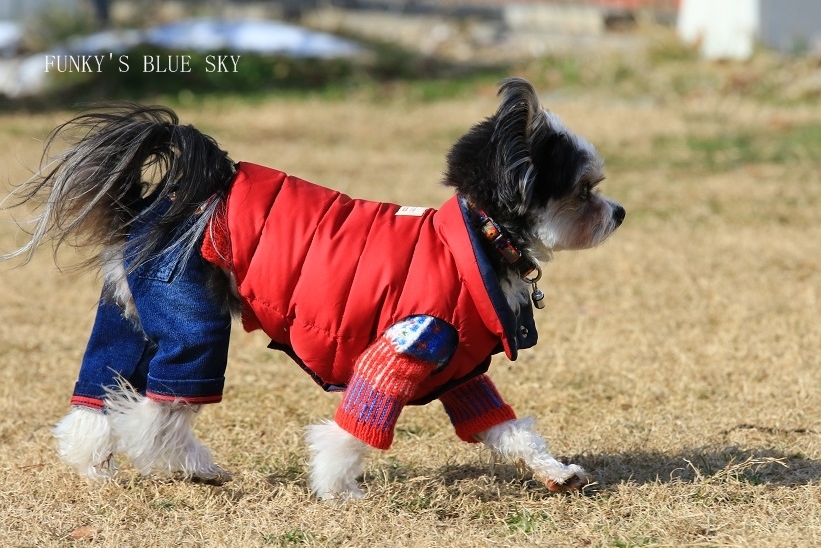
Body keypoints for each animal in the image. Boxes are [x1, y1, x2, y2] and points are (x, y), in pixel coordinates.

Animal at [3, 79, 624, 498]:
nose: (619, 212)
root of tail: (167, 202)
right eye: (584, 191)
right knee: (158, 411)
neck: (482, 239)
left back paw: (92, 464)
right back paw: (195, 467)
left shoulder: (460, 369)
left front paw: (556, 473)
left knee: (99, 394)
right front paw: (339, 489)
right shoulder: (406, 345)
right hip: (190, 314)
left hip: (129, 316)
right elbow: (353, 431)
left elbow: (507, 428)